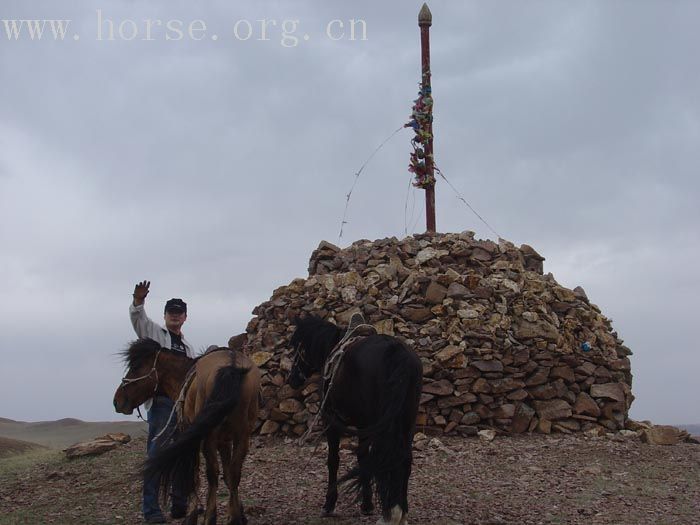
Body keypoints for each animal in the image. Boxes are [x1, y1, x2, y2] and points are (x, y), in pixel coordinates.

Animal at [115, 340, 260, 524]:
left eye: (136, 367)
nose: (117, 401)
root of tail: (232, 364)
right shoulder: (224, 441)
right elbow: (228, 475)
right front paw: (238, 513)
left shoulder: (190, 433)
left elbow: (193, 475)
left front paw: (192, 514)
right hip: (242, 435)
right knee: (234, 473)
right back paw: (234, 519)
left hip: (208, 437)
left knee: (211, 475)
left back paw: (209, 518)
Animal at [288, 316, 424, 524]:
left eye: (298, 347)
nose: (292, 379)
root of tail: (397, 352)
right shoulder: (364, 426)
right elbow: (362, 458)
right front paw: (367, 504)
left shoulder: (333, 422)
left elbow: (334, 460)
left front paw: (330, 504)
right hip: (406, 422)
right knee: (405, 458)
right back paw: (401, 512)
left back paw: (391, 513)